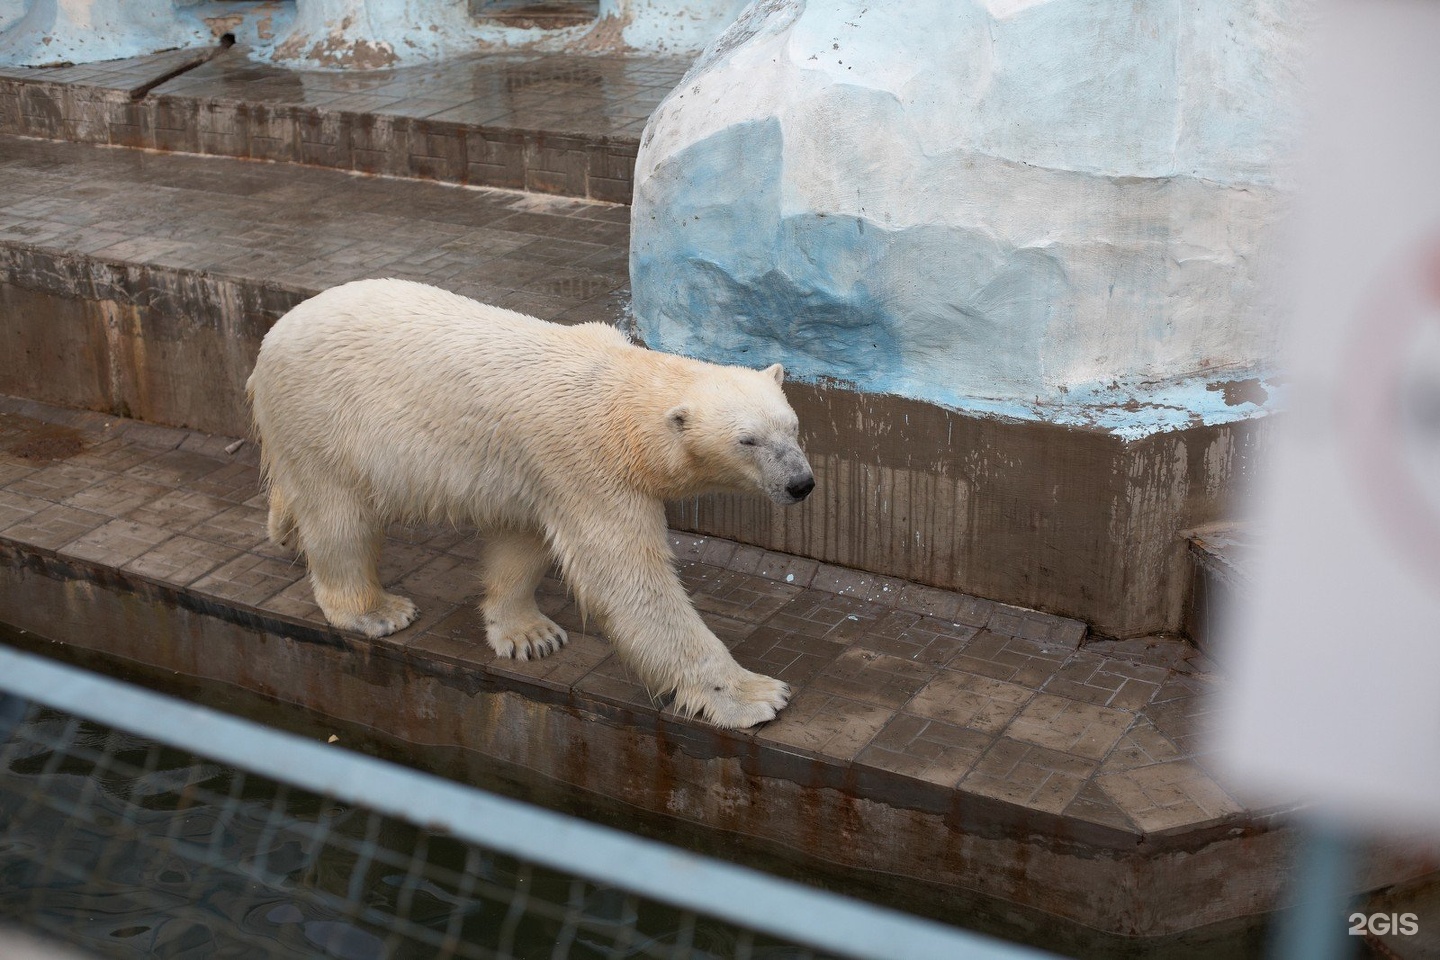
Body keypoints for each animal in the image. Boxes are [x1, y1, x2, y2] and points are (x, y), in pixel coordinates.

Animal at [246, 277, 812, 728]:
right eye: (748, 440)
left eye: (792, 427)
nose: (801, 483)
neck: (619, 394)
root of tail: (272, 336)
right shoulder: (588, 462)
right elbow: (629, 581)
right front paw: (756, 695)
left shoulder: (541, 472)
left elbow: (525, 542)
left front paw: (529, 634)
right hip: (321, 416)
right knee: (341, 519)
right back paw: (376, 610)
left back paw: (284, 527)